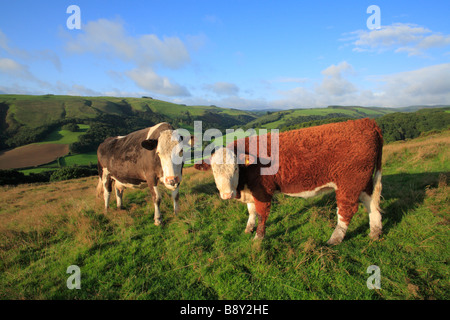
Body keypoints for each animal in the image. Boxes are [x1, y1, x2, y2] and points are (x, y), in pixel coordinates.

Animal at [194, 118, 384, 245]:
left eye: (235, 169)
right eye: (213, 171)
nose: (227, 194)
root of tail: (368, 122)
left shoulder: (262, 191)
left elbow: (261, 214)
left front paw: (258, 238)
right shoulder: (250, 191)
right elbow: (251, 211)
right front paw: (248, 228)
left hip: (349, 183)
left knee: (346, 211)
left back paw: (334, 239)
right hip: (362, 181)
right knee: (372, 204)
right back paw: (375, 232)